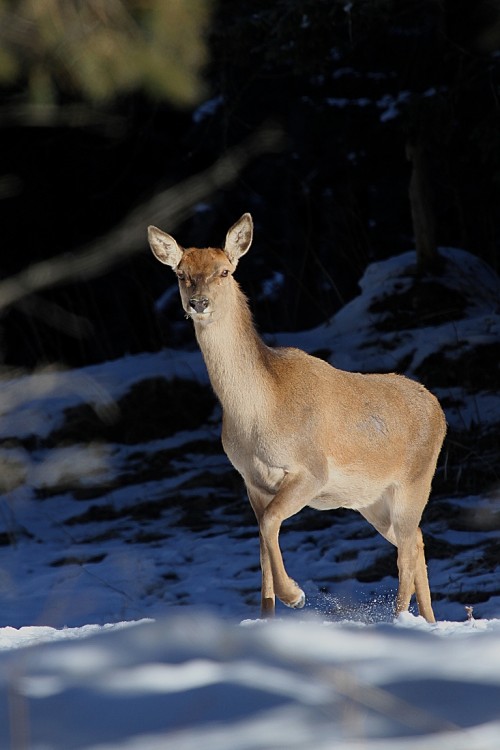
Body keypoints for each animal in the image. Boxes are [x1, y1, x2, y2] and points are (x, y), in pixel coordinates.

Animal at [147, 213, 446, 624]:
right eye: (180, 273)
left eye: (224, 271)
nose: (198, 303)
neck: (258, 413)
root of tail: (440, 410)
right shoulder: (251, 480)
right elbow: (261, 538)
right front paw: (267, 615)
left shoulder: (311, 469)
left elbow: (271, 522)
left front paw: (295, 595)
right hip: (370, 500)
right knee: (415, 540)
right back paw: (429, 620)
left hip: (415, 481)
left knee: (406, 547)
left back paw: (401, 619)